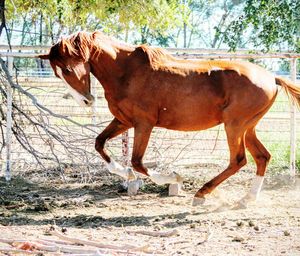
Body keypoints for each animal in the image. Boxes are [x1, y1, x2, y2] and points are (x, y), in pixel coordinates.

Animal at [40, 31, 300, 208]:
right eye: (57, 73)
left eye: (67, 69)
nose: (86, 101)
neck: (126, 73)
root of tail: (272, 78)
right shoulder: (123, 121)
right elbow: (99, 143)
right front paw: (127, 175)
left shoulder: (144, 124)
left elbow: (137, 161)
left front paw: (172, 177)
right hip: (248, 128)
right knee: (262, 157)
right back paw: (247, 199)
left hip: (234, 126)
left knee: (238, 160)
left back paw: (202, 193)